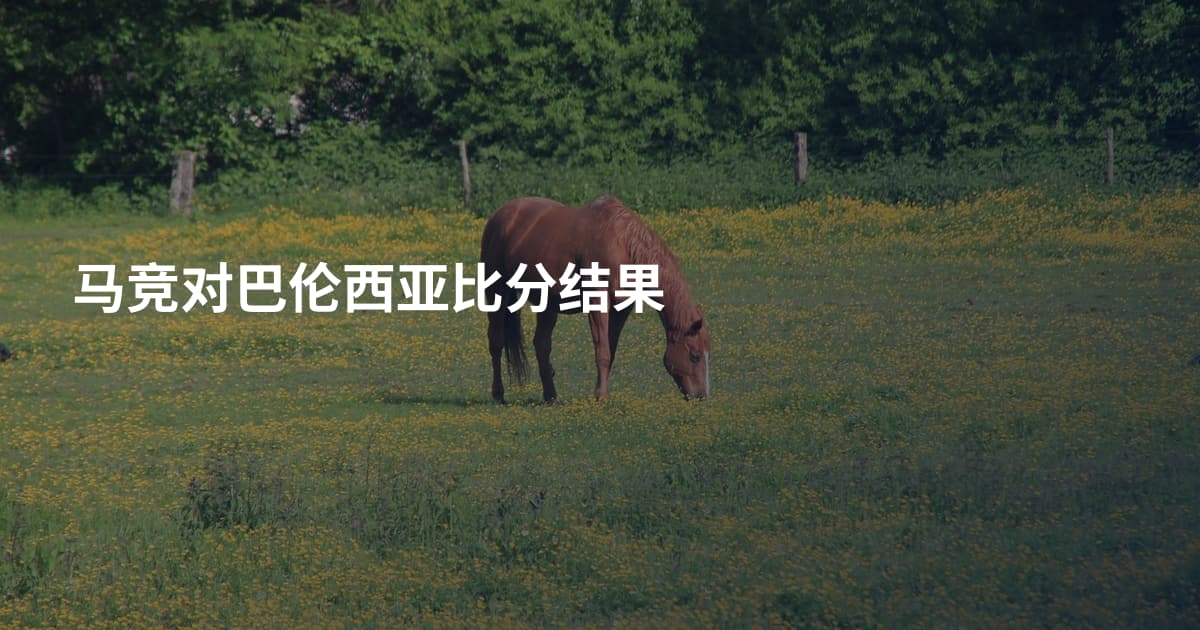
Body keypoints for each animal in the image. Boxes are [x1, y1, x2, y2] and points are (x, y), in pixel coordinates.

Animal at [480, 195, 711, 403]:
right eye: (695, 356)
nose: (701, 395)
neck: (622, 244)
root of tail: (500, 215)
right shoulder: (598, 303)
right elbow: (602, 352)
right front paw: (601, 396)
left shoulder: (621, 309)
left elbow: (611, 351)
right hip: (497, 291)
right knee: (496, 342)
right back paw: (498, 395)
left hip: (547, 303)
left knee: (541, 345)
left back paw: (551, 396)